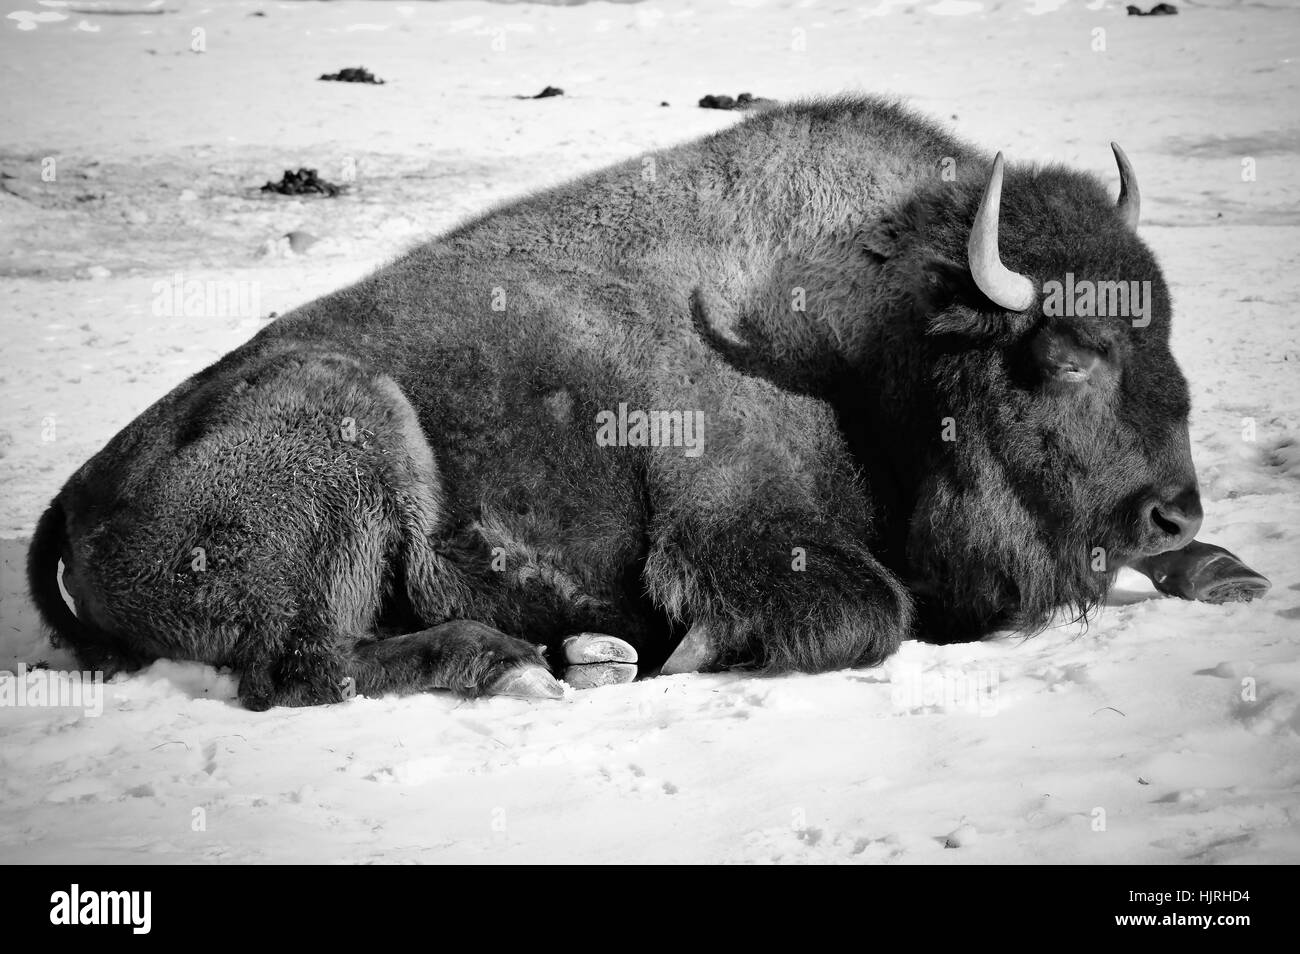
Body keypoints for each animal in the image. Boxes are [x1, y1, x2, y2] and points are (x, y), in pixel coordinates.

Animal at [27, 96, 1268, 709]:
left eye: (1160, 327)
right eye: (1065, 353)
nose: (1172, 510)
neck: (869, 331)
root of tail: (84, 487)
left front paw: (1227, 572)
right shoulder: (735, 534)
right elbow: (868, 613)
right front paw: (684, 657)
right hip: (351, 426)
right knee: (299, 669)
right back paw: (528, 667)